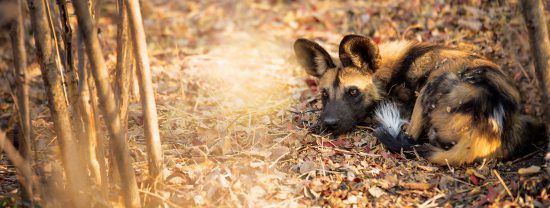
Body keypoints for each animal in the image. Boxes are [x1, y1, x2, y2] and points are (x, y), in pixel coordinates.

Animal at [296, 34, 544, 165]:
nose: (329, 123)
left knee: (410, 135)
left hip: (432, 85)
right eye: (324, 95)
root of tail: (489, 131)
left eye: (353, 92)